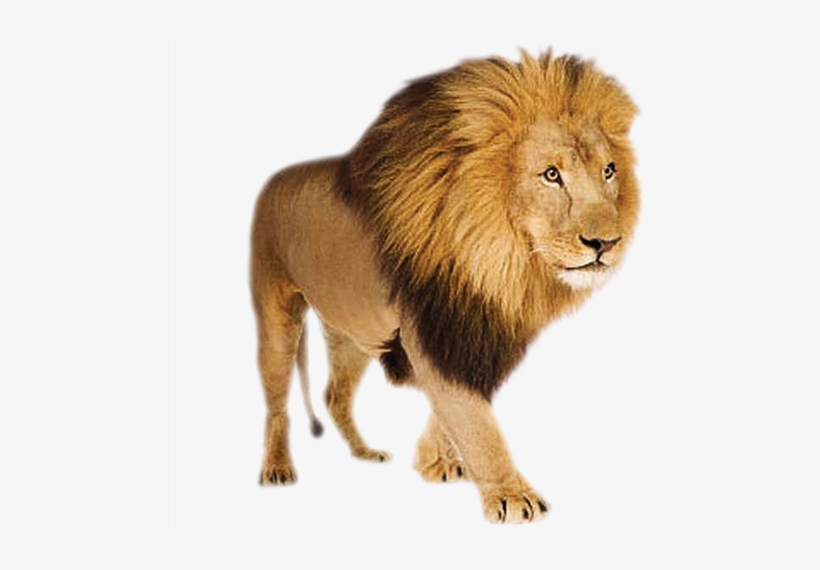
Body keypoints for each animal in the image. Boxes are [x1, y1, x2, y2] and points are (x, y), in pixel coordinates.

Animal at [250, 51, 639, 523]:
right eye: (551, 175)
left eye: (609, 171)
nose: (607, 244)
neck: (500, 261)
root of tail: (273, 180)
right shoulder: (432, 328)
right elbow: (475, 421)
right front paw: (511, 495)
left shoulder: (478, 333)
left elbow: (454, 408)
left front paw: (436, 461)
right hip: (278, 317)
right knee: (276, 403)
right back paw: (277, 468)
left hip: (352, 332)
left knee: (334, 394)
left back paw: (364, 452)